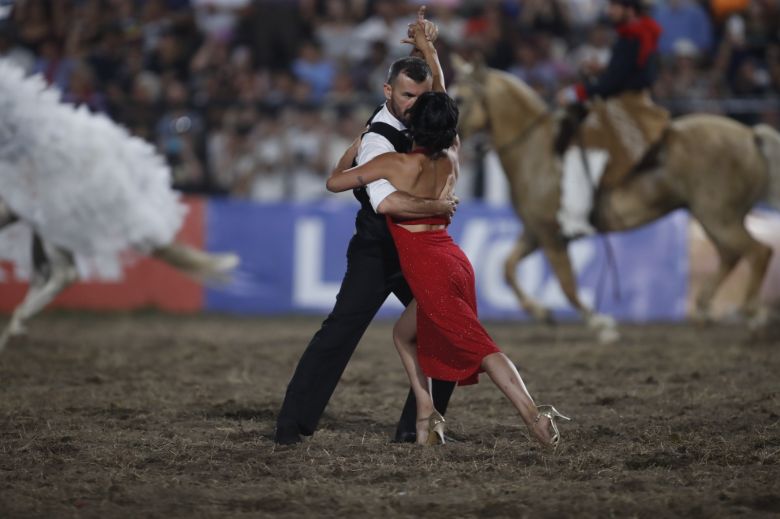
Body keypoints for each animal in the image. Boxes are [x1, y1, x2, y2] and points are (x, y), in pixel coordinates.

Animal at [450, 60, 780, 342]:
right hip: (714, 216)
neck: (536, 151)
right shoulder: (534, 233)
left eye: (461, 99)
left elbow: (568, 286)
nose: (449, 138)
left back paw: (753, 317)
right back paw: (704, 311)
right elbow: (507, 268)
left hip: (718, 216)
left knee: (758, 252)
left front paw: (601, 324)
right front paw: (543, 313)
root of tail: (750, 134)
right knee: (731, 255)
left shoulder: (551, 236)